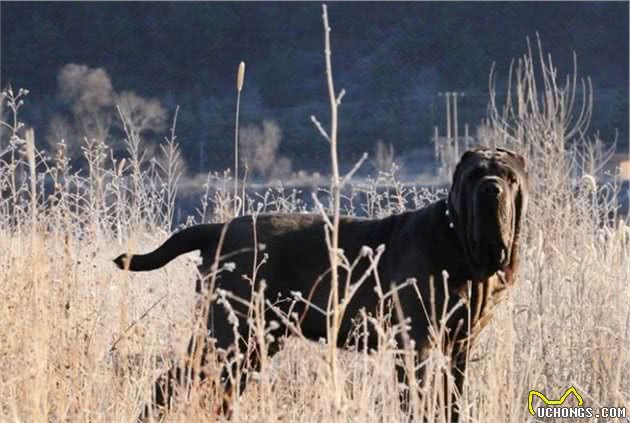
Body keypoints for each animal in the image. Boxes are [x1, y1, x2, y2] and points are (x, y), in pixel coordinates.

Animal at [113, 147, 528, 420]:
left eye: (510, 177)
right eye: (475, 175)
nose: (492, 188)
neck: (461, 245)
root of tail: (218, 229)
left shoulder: (458, 346)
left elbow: (451, 399)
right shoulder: (416, 342)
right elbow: (418, 398)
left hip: (253, 342)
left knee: (219, 391)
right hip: (226, 336)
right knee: (169, 385)